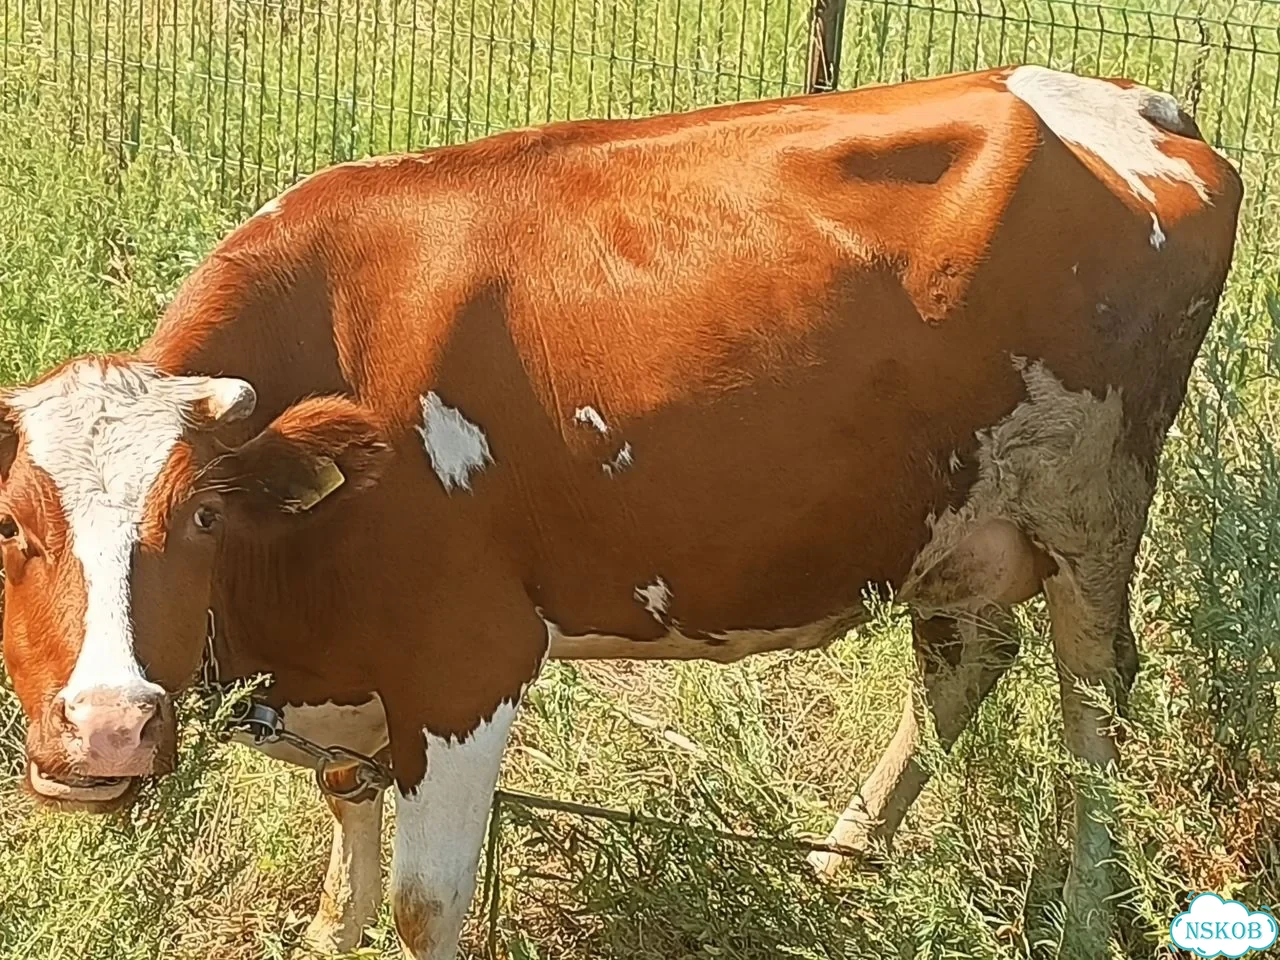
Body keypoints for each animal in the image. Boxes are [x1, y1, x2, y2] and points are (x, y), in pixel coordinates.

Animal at [0, 64, 1240, 958]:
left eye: (201, 518)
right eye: (12, 528)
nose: (104, 730)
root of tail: (1122, 99)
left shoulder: (465, 660)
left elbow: (422, 906)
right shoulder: (350, 666)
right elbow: (343, 830)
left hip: (1092, 500)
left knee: (1091, 700)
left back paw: (1077, 922)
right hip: (943, 519)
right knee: (965, 661)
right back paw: (834, 868)